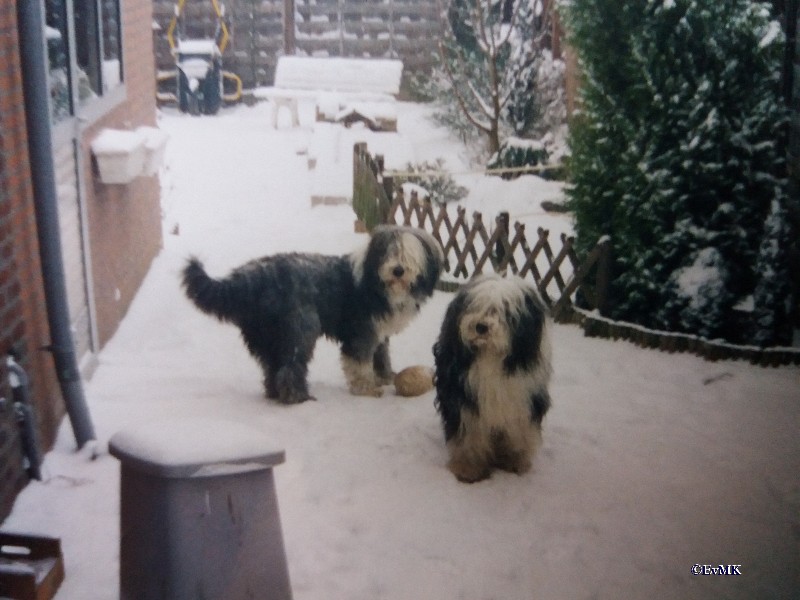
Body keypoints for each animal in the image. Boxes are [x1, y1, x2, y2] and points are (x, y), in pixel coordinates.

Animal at [182, 227, 444, 406]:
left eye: (410, 255)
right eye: (390, 252)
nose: (398, 270)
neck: (376, 281)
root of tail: (253, 276)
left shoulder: (378, 331)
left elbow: (381, 355)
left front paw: (386, 377)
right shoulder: (361, 331)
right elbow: (359, 362)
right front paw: (367, 389)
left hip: (268, 335)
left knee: (273, 367)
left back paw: (275, 393)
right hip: (300, 328)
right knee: (290, 366)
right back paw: (297, 397)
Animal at [434, 276, 552, 482]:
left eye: (506, 311)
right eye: (474, 306)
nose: (481, 326)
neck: (491, 357)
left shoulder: (523, 404)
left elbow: (518, 434)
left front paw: (514, 461)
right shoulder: (466, 402)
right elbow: (469, 436)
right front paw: (468, 468)